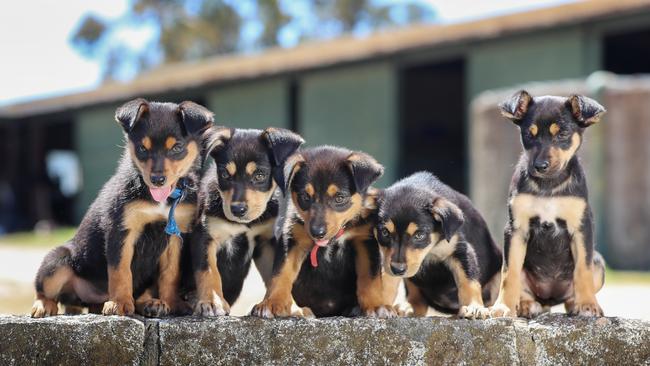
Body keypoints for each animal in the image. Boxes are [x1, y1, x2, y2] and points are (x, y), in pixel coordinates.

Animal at [31, 98, 211, 318]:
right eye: (142, 148)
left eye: (177, 148)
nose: (157, 180)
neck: (161, 200)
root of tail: (87, 299)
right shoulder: (121, 231)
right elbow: (121, 272)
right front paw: (119, 304)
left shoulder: (175, 237)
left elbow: (170, 274)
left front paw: (173, 303)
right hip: (57, 261)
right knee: (44, 289)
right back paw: (44, 305)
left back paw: (150, 304)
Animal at [189, 127, 302, 316]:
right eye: (225, 174)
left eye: (260, 175)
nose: (238, 210)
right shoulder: (205, 235)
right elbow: (209, 271)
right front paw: (212, 301)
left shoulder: (266, 242)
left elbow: (277, 274)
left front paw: (281, 304)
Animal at [249, 146, 398, 318]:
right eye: (305, 196)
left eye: (340, 198)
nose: (317, 232)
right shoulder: (292, 239)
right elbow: (281, 273)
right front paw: (272, 302)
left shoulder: (364, 240)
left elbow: (370, 278)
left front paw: (376, 305)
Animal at [374, 172, 502, 318]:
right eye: (385, 232)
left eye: (419, 235)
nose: (397, 270)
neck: (430, 250)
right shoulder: (387, 257)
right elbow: (386, 282)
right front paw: (384, 307)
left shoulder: (460, 249)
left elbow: (468, 281)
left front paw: (473, 307)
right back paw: (409, 306)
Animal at [488, 91, 604, 318]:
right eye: (529, 134)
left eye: (562, 134)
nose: (540, 166)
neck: (548, 185)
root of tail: (549, 299)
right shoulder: (516, 229)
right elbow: (510, 273)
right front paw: (503, 307)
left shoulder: (581, 227)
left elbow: (582, 270)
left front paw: (588, 305)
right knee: (523, 288)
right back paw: (525, 305)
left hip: (599, 263)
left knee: (572, 293)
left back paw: (576, 304)